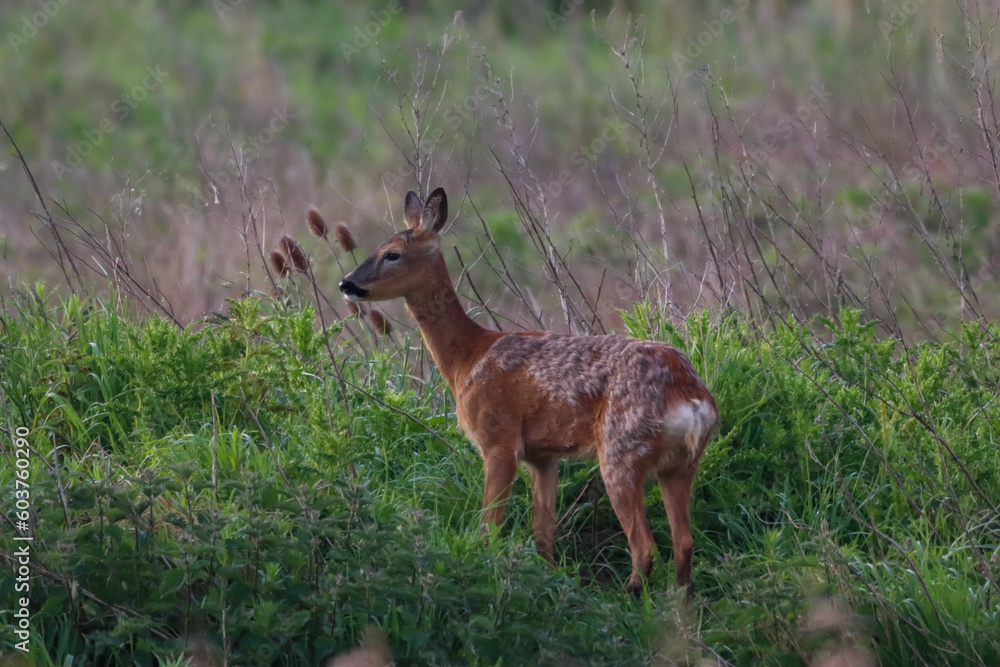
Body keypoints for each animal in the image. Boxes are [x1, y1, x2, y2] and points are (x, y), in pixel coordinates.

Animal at [340, 188, 716, 596]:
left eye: (392, 253)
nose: (347, 283)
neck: (467, 358)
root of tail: (691, 397)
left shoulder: (498, 438)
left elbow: (489, 526)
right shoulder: (543, 455)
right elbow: (542, 533)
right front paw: (548, 578)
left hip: (621, 449)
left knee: (644, 544)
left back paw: (626, 594)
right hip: (681, 465)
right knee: (684, 542)